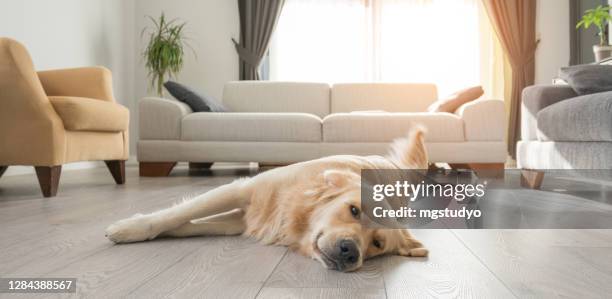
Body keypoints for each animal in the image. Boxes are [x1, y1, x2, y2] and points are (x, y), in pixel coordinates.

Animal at [105, 127, 428, 274]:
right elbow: (177, 215)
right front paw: (130, 228)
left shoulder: (239, 222)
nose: (351, 252)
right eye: (353, 210)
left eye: (377, 244)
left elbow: (190, 224)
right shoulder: (242, 191)